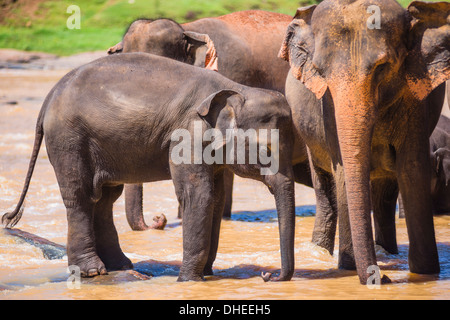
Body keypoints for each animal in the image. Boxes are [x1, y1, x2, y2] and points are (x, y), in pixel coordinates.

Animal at [4, 53, 298, 282]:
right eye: (266, 151)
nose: (269, 275)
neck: (236, 88)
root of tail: (49, 97)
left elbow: (215, 198)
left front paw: (206, 275)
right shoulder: (187, 135)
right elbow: (198, 195)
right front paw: (189, 281)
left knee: (104, 199)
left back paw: (120, 266)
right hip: (68, 139)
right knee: (80, 197)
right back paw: (93, 272)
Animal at [280, 0, 448, 284]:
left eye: (383, 67)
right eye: (321, 71)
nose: (384, 278)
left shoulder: (414, 98)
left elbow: (412, 168)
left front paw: (426, 272)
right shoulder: (328, 106)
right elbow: (341, 171)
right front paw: (348, 267)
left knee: (385, 193)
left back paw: (386, 253)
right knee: (325, 188)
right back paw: (322, 252)